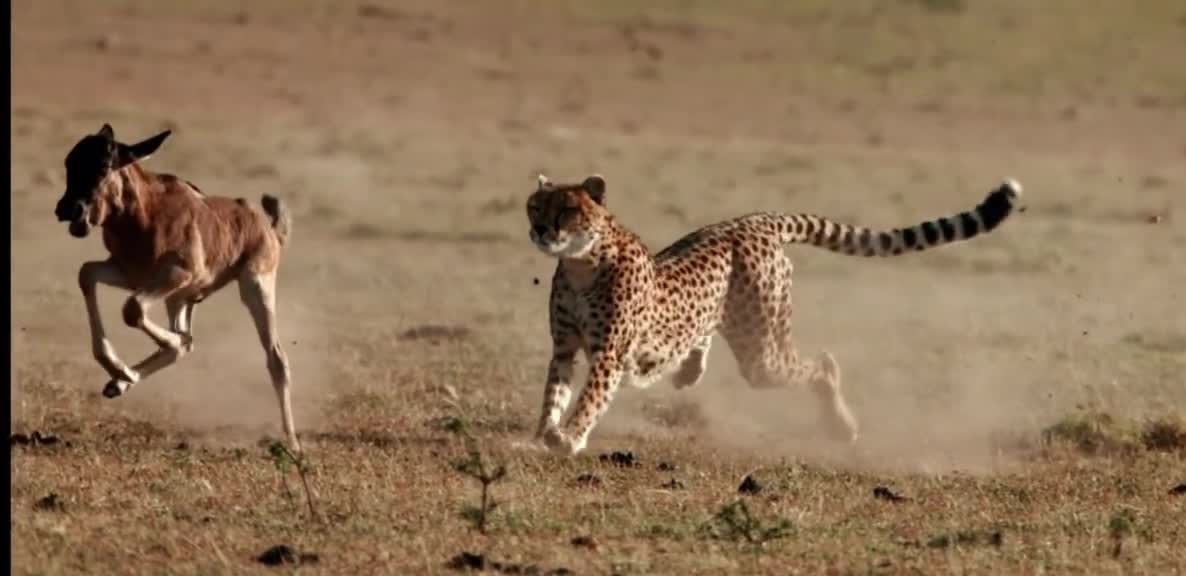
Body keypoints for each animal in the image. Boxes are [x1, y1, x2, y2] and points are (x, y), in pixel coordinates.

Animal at [54, 123, 301, 452]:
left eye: (105, 165)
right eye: (69, 161)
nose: (69, 210)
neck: (145, 213)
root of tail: (269, 228)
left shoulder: (176, 274)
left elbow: (134, 311)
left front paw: (124, 370)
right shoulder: (129, 275)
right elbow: (86, 274)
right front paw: (119, 372)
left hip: (254, 285)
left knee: (276, 357)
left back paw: (293, 444)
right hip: (179, 299)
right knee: (189, 337)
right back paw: (119, 383)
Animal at [524, 171, 1024, 455]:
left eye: (566, 209)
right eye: (534, 206)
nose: (540, 230)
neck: (582, 261)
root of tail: (753, 220)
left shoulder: (608, 354)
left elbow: (589, 398)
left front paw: (570, 436)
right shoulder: (564, 347)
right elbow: (554, 392)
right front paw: (545, 431)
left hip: (762, 353)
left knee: (821, 366)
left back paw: (841, 425)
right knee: (702, 335)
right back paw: (686, 369)